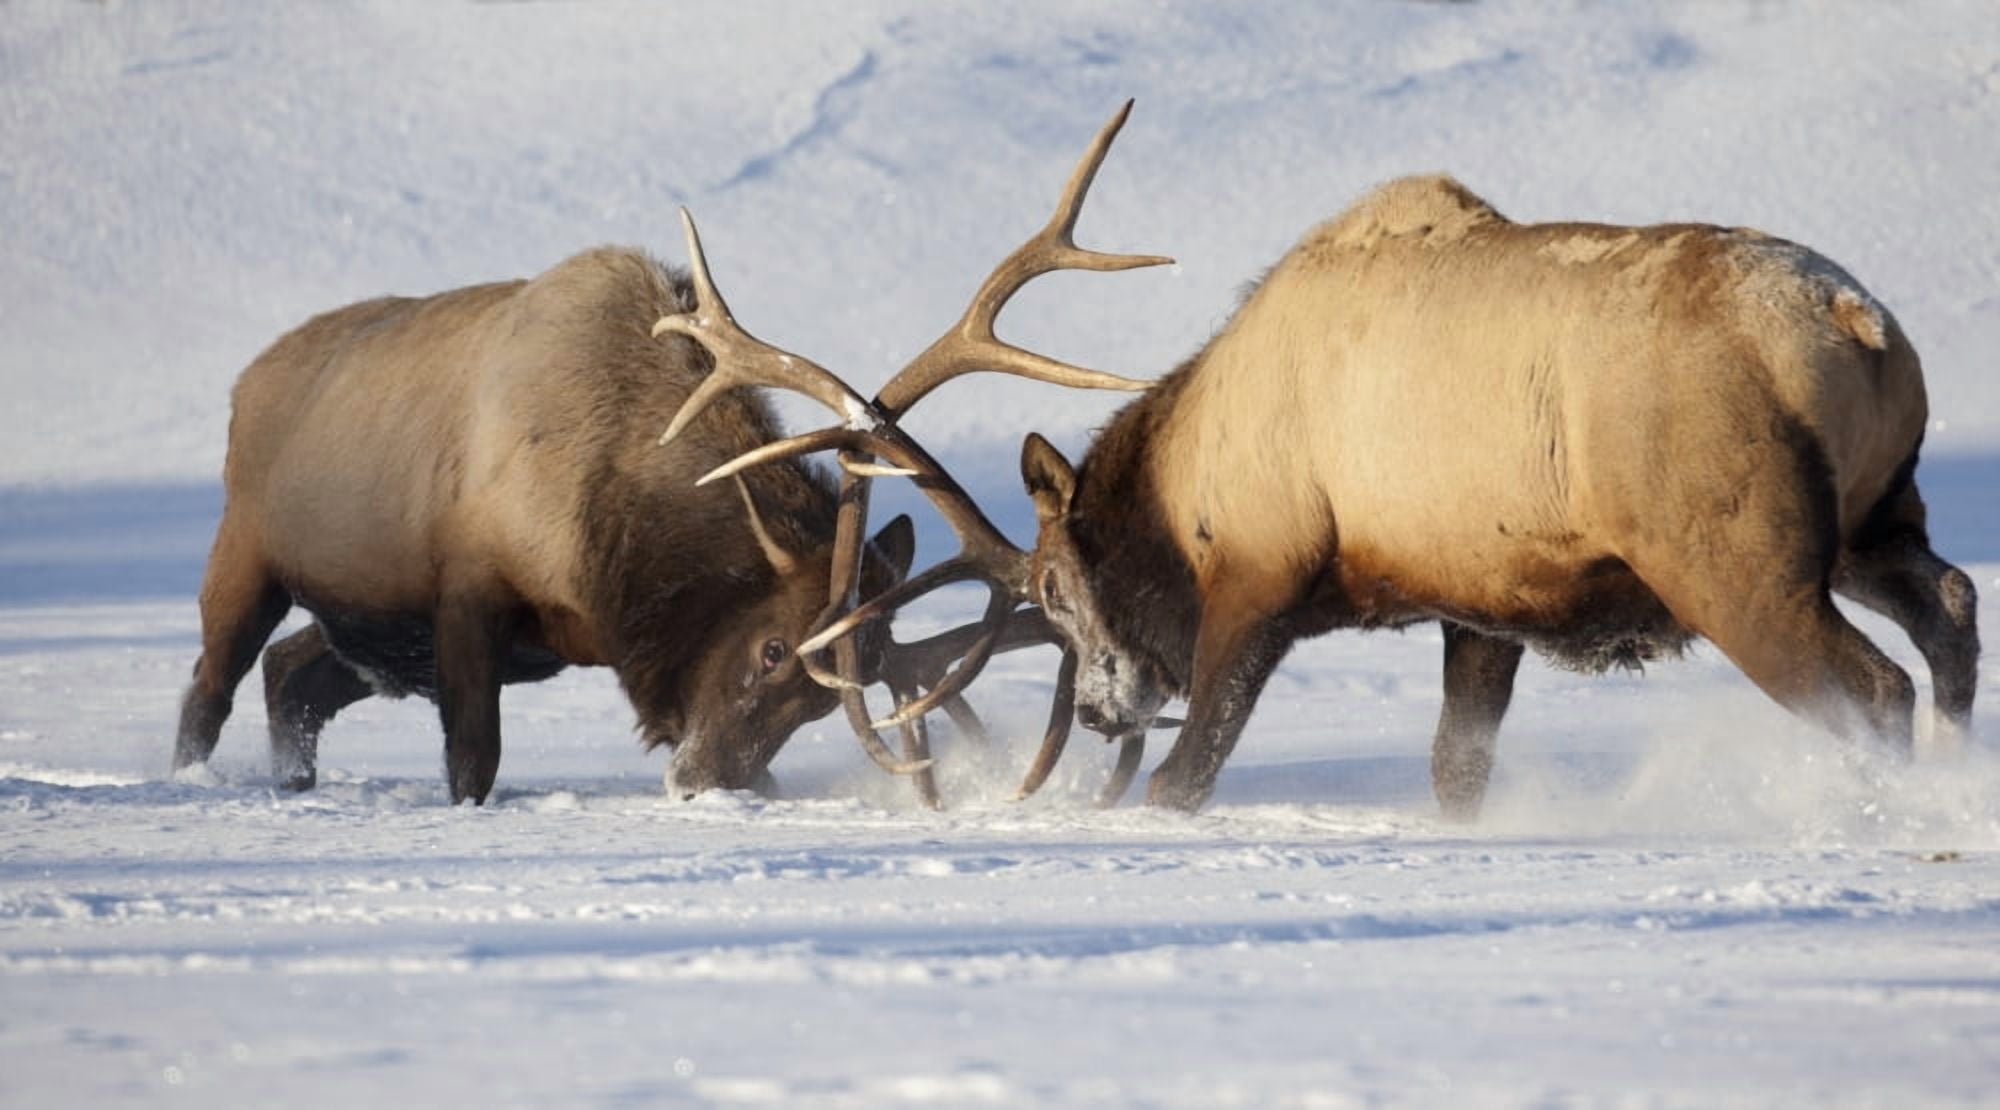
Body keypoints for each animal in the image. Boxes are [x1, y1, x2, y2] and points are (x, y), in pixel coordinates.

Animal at [171, 244, 942, 805]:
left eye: (826, 702)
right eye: (773, 648)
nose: (702, 785)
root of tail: (247, 381)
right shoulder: (467, 593)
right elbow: (474, 762)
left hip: (370, 627)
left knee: (291, 671)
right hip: (247, 555)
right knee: (210, 688)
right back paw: (191, 781)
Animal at [671, 106, 1981, 818]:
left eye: (1049, 585)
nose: (1094, 709)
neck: (1181, 483)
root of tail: (1859, 328)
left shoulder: (1260, 578)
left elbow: (1188, 772)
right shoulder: (1478, 603)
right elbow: (1455, 768)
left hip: (1732, 553)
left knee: (1871, 685)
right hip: (1876, 516)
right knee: (1954, 606)